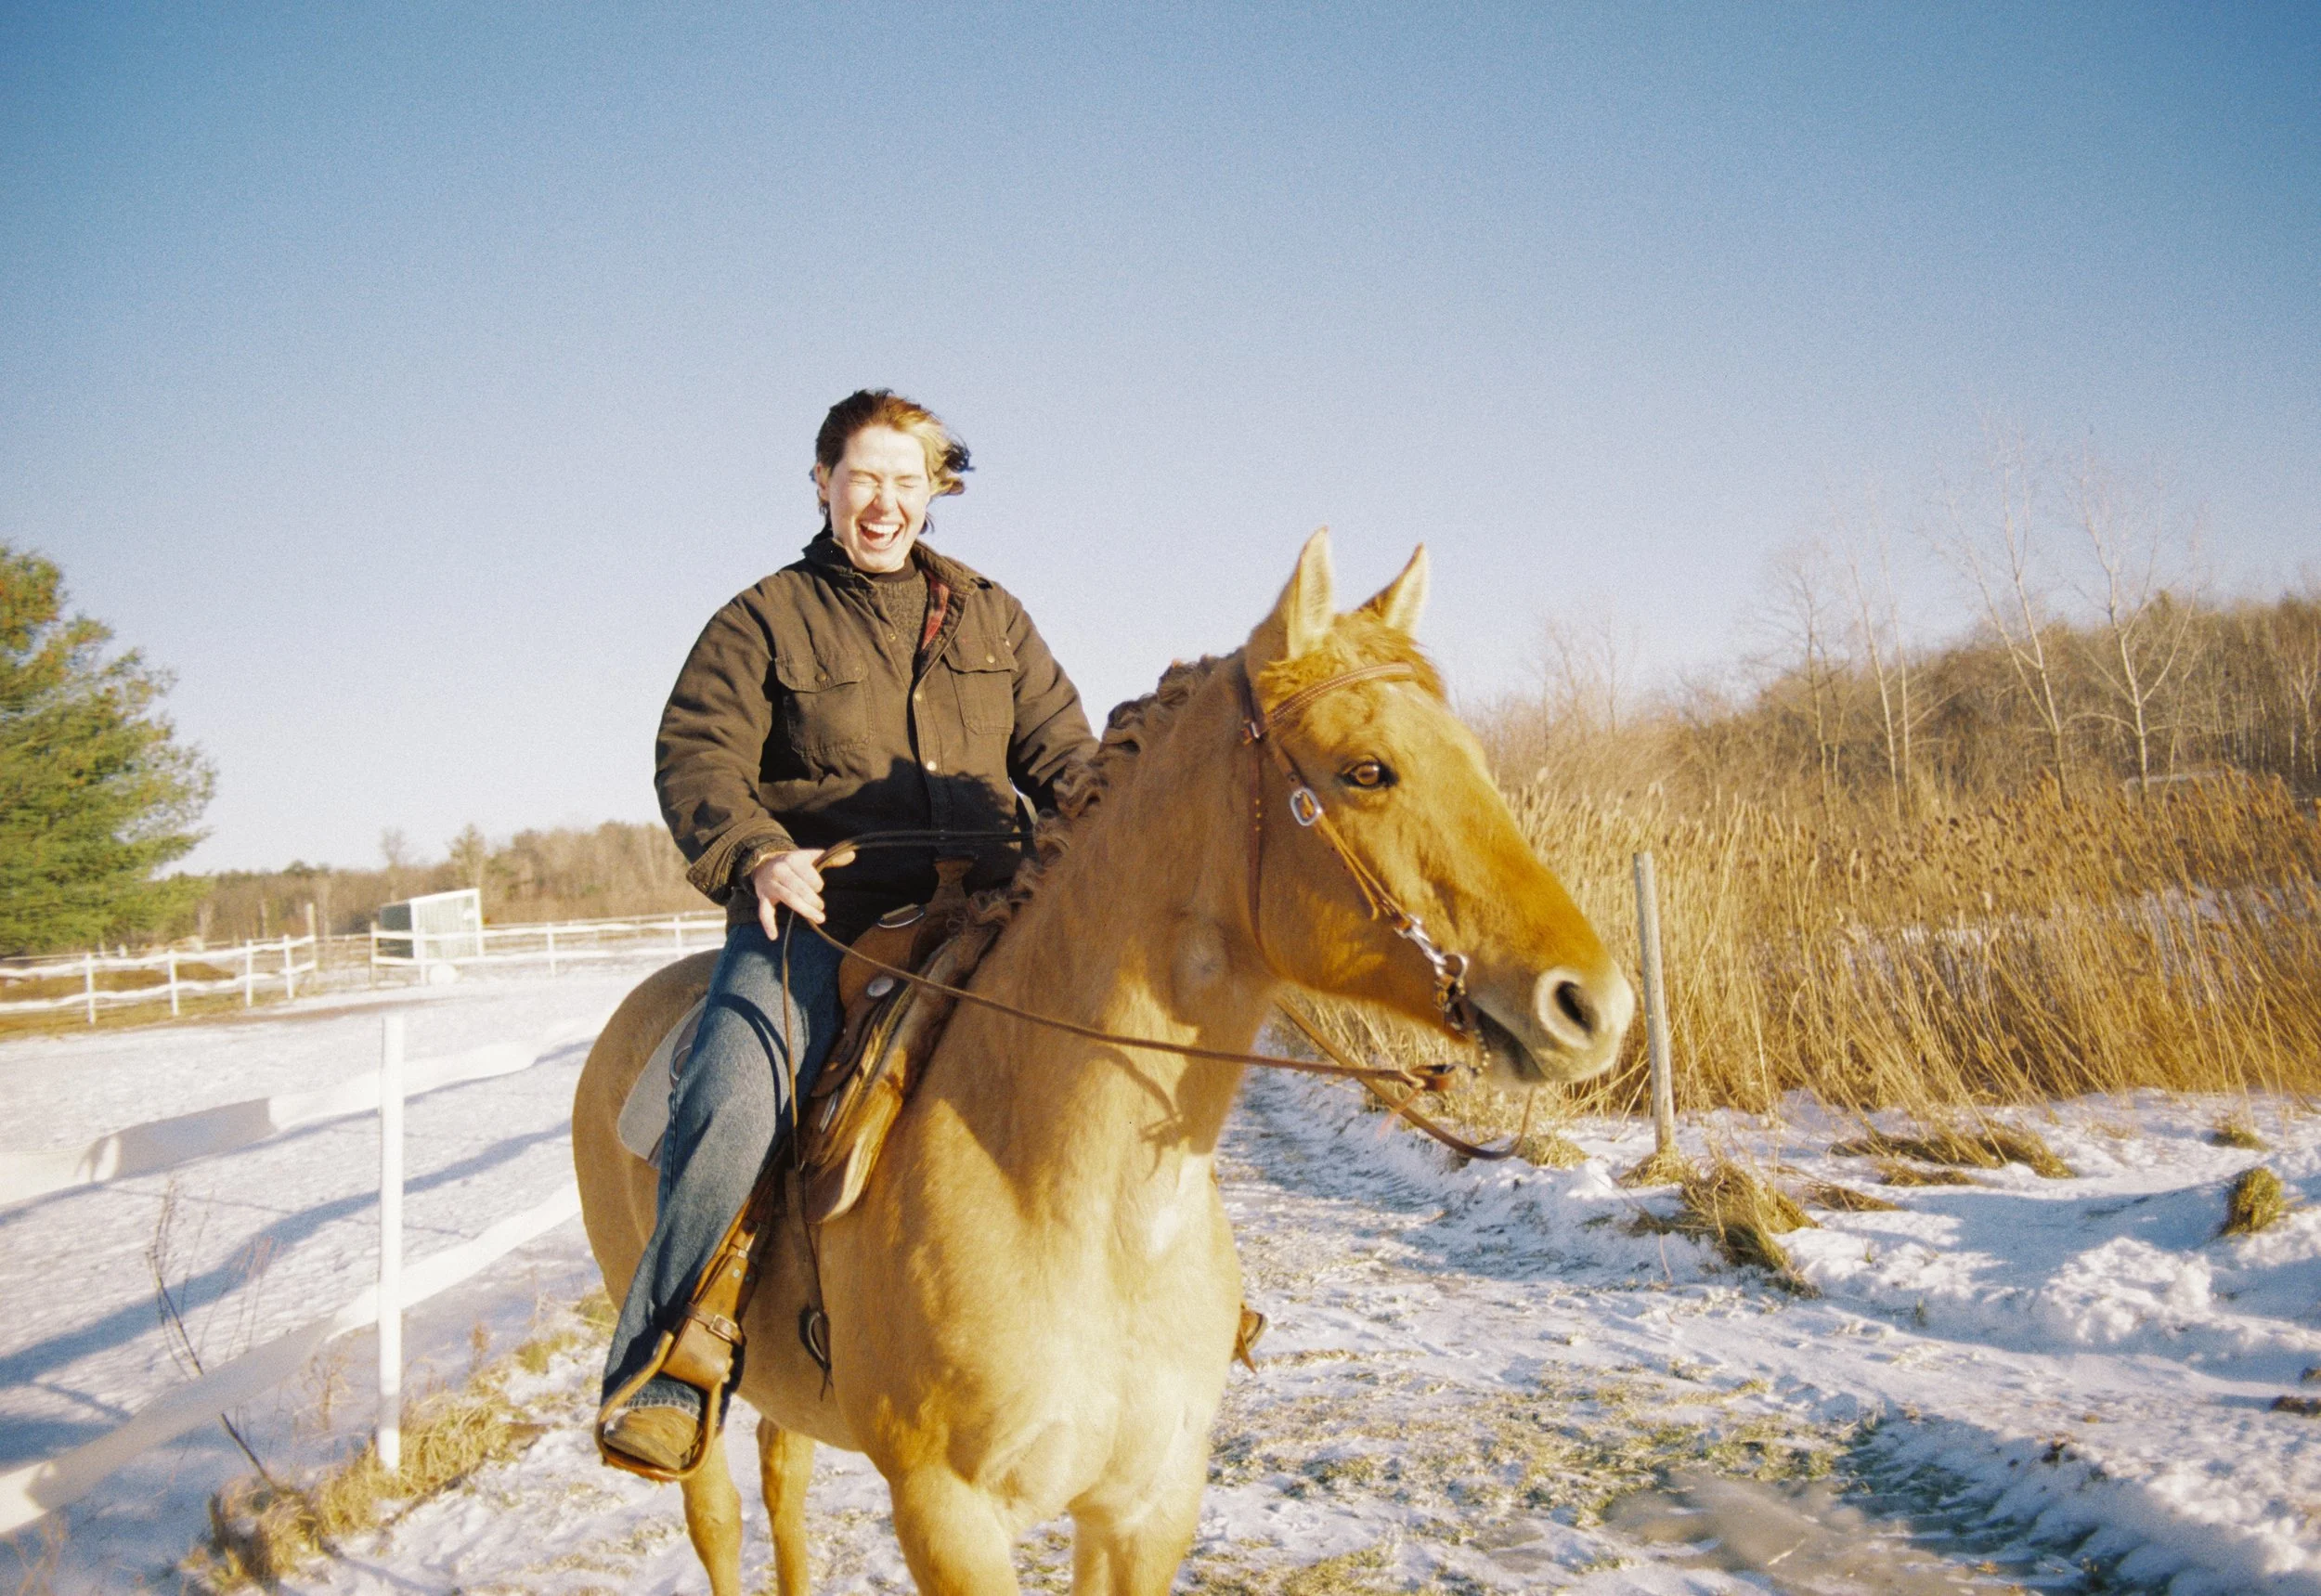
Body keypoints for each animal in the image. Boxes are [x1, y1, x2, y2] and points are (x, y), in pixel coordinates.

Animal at [572, 531, 1635, 1596]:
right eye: (1367, 770)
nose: (1593, 1002)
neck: (1079, 1211)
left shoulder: (1145, 1508)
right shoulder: (946, 1516)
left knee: (783, 1475)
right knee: (718, 1514)